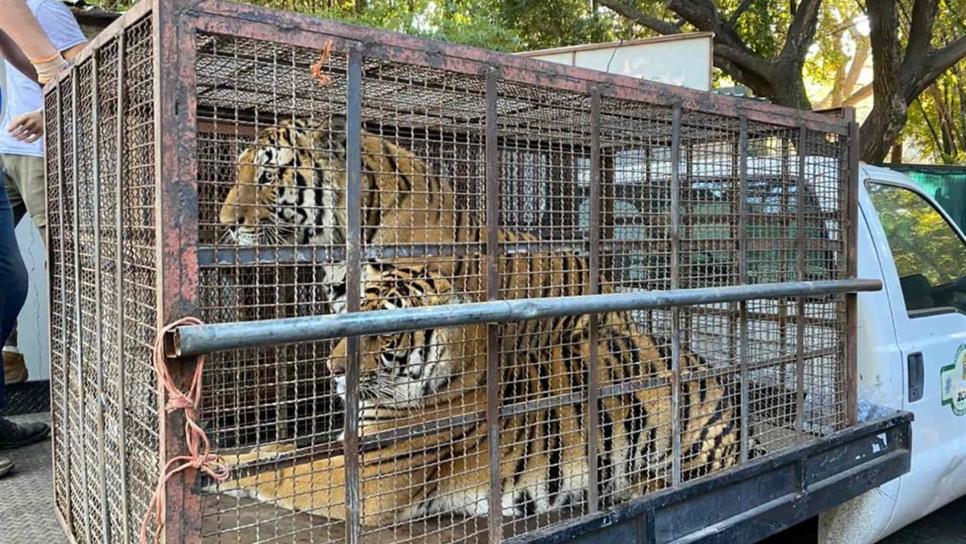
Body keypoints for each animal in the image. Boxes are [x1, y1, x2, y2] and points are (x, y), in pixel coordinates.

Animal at [210, 231, 796, 528]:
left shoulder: (372, 477)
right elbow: (283, 454)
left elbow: (286, 474)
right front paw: (225, 456)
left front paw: (217, 473)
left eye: (385, 334)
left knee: (685, 474)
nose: (331, 371)